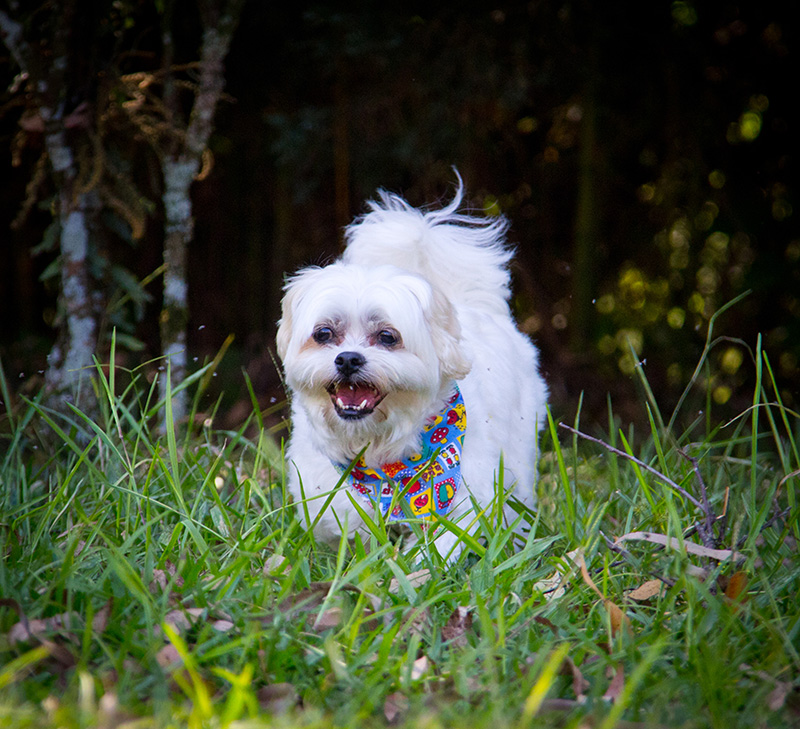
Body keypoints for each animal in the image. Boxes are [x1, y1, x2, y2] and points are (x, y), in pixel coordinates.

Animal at [276, 176, 552, 556]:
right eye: (324, 333)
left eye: (387, 337)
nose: (347, 358)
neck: (384, 456)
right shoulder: (332, 500)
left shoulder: (463, 501)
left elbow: (441, 546)